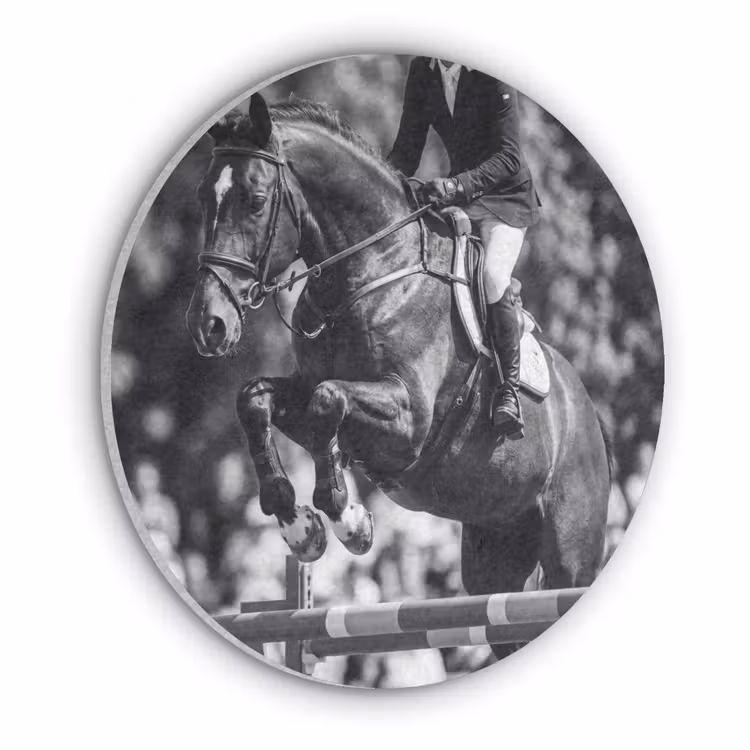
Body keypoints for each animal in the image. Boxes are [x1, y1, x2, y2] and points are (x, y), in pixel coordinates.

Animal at [186, 93, 611, 652]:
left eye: (256, 200)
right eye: (203, 198)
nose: (208, 324)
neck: (371, 271)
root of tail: (587, 414)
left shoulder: (409, 421)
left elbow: (328, 401)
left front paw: (348, 519)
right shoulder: (309, 393)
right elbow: (257, 398)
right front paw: (299, 525)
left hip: (570, 554)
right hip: (493, 555)